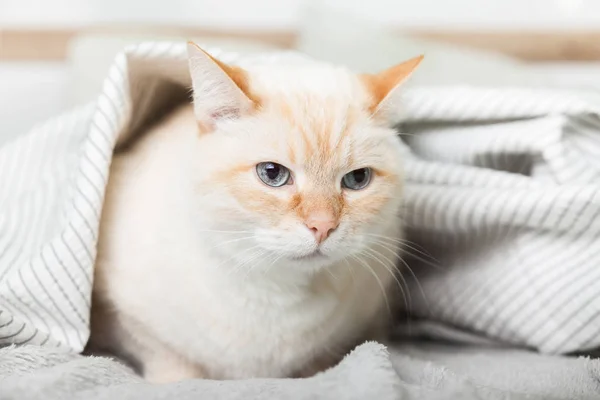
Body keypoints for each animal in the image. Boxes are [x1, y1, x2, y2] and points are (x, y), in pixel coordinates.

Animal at [91, 42, 424, 382]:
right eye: (272, 174)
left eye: (357, 179)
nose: (322, 226)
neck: (276, 295)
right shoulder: (130, 321)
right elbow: (174, 363)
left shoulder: (364, 320)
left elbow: (321, 364)